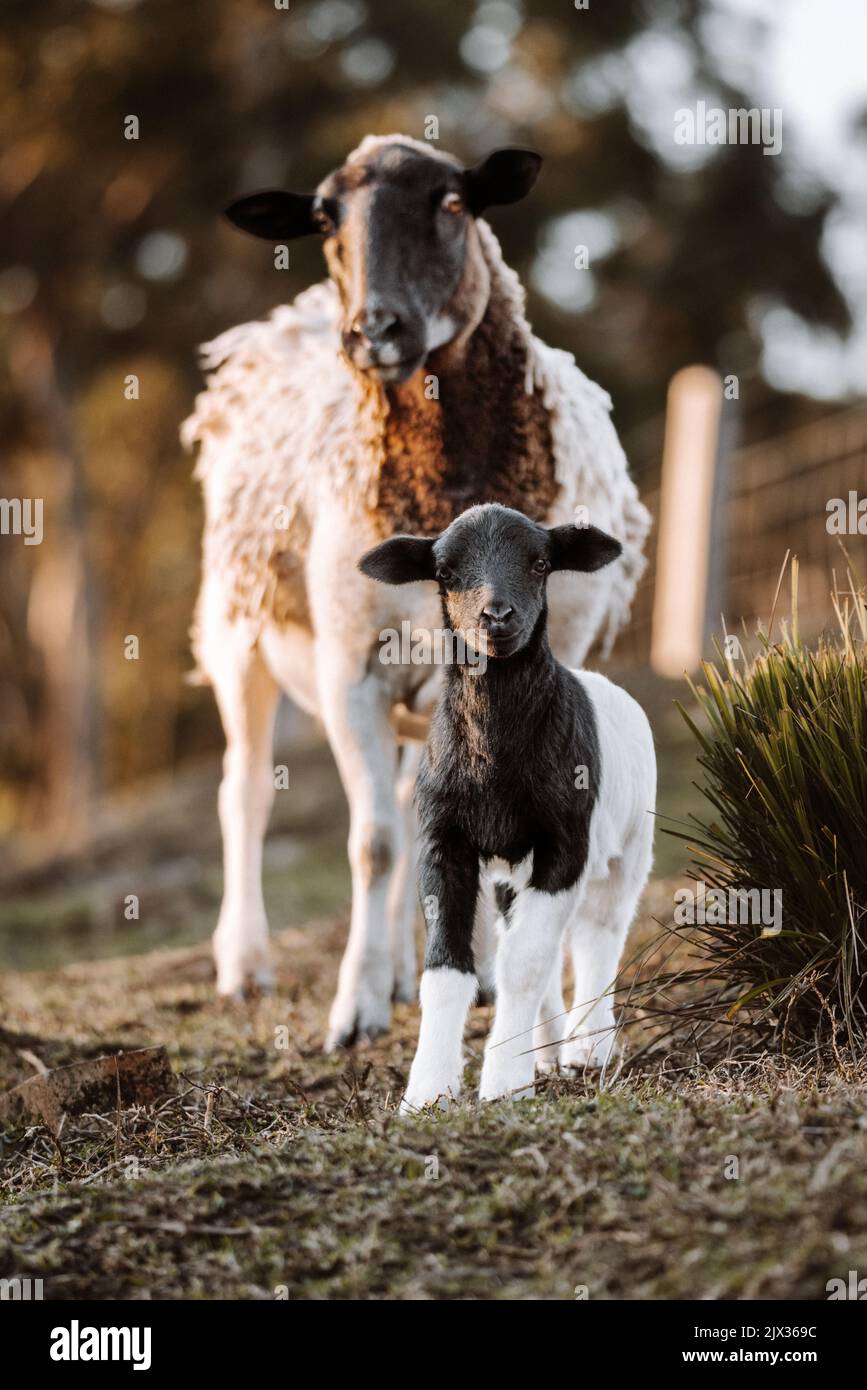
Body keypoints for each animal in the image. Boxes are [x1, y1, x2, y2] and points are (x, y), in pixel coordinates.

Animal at [182, 133, 651, 1048]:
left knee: (410, 803)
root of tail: (282, 324)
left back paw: (417, 964)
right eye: (325, 218)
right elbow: (372, 844)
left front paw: (473, 973)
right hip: (237, 631)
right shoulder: (351, 668)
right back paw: (246, 964)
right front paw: (355, 1008)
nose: (375, 329)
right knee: (244, 793)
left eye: (453, 203)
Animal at [359, 503, 656, 1109]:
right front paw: (427, 1092)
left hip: (628, 847)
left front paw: (503, 1084)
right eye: (444, 572)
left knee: (599, 936)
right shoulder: (443, 840)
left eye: (540, 564)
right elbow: (448, 970)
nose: (496, 616)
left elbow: (524, 963)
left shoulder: (566, 844)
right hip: (509, 873)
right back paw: (545, 1049)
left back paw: (589, 1047)